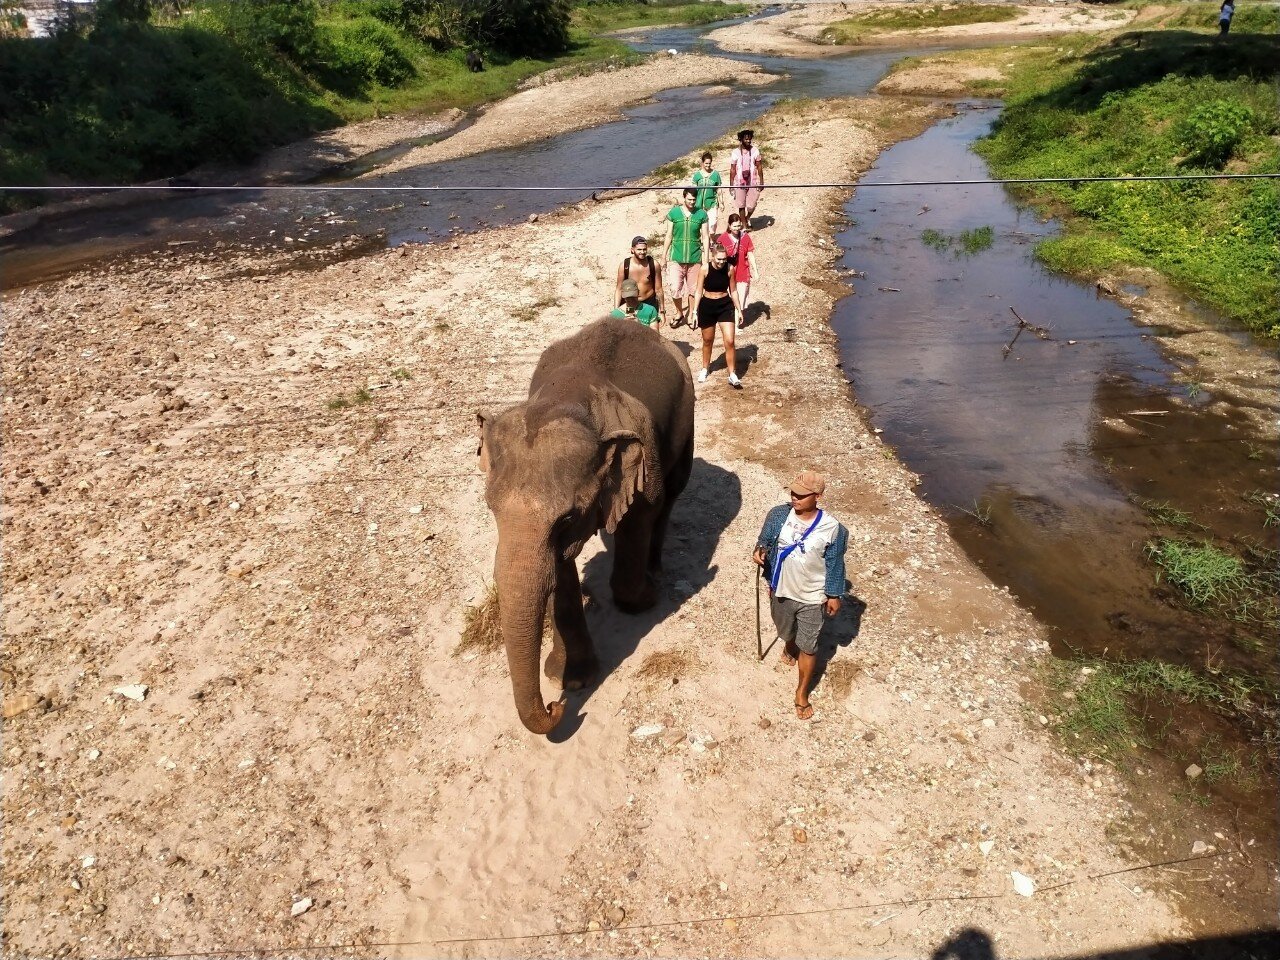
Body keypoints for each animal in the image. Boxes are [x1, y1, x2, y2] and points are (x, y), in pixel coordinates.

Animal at [477, 317, 695, 734]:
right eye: (490, 508)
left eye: (567, 517)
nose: (555, 708)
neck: (567, 400)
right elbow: (558, 570)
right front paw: (572, 678)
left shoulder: (645, 458)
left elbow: (638, 521)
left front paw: (645, 600)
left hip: (688, 413)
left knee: (673, 495)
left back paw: (656, 570)